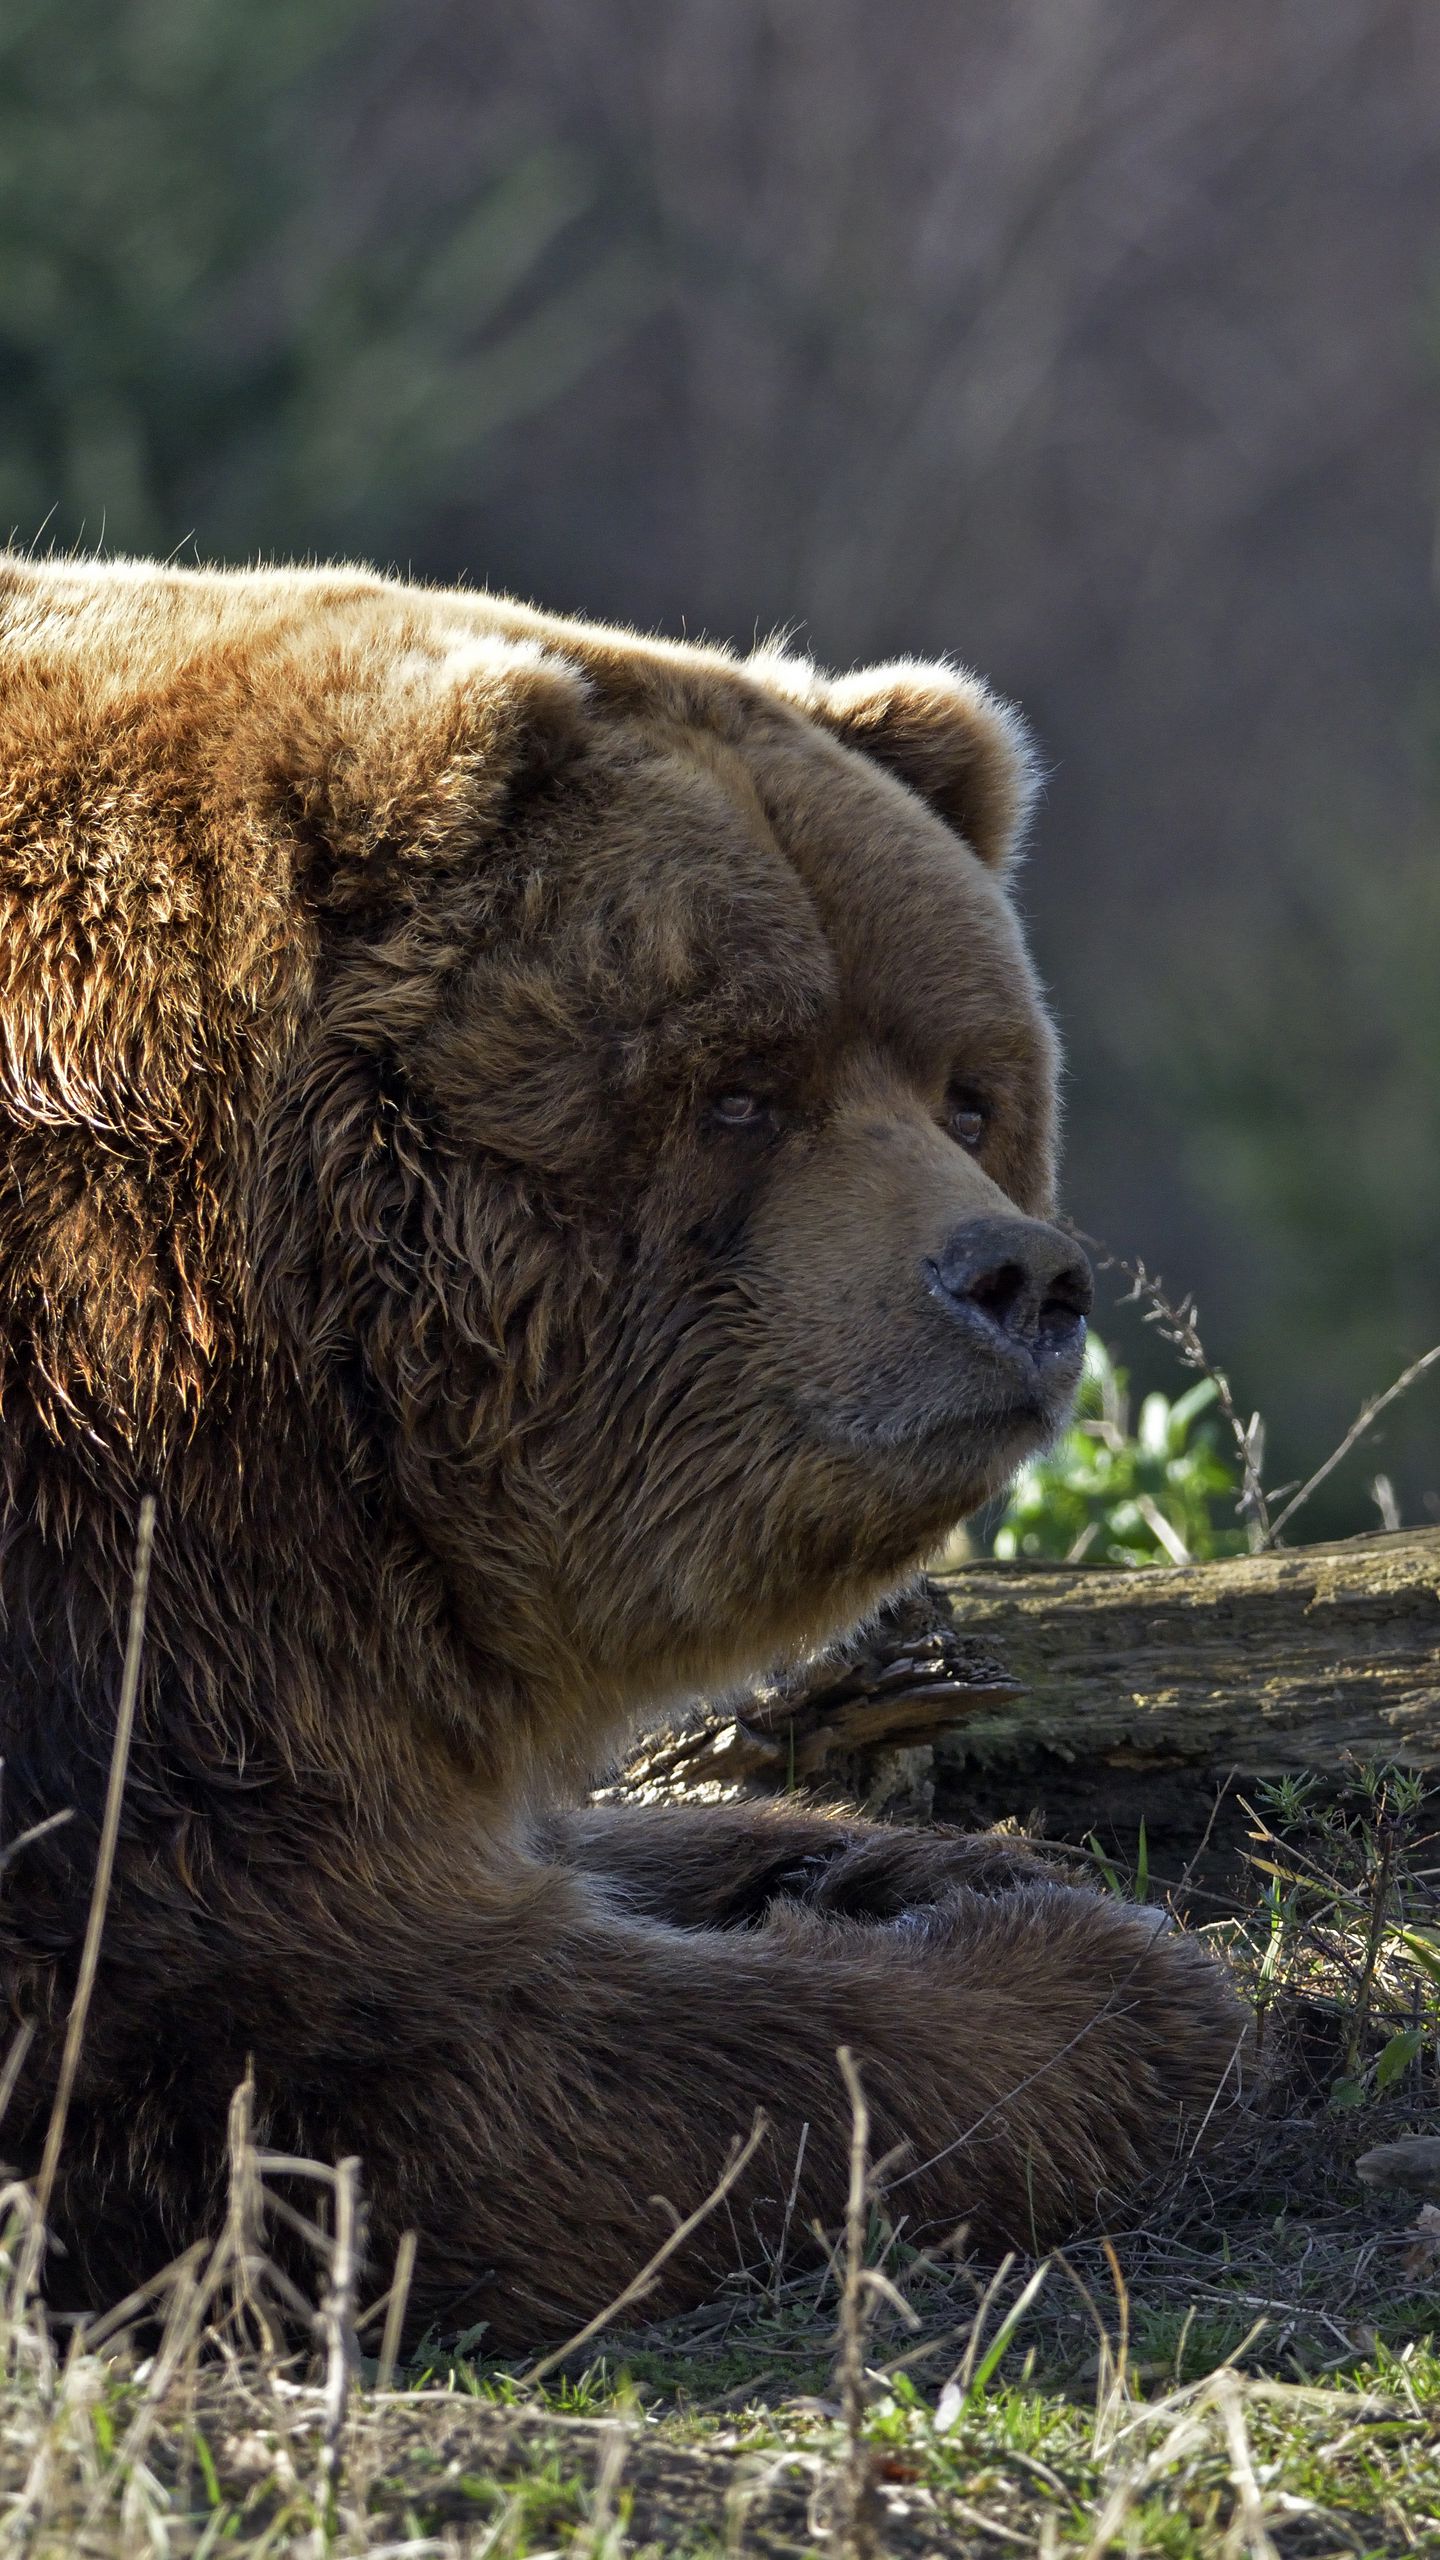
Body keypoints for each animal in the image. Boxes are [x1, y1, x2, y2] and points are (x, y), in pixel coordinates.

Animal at [0, 550, 1235, 2344]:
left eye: (967, 1090)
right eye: (741, 1086)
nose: (1020, 1276)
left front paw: (892, 1861)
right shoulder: (112, 1637)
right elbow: (376, 2057)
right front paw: (1104, 1979)